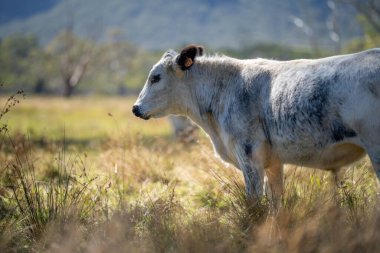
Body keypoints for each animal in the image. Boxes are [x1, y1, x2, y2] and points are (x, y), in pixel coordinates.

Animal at [133, 45, 380, 204]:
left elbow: (254, 206)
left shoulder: (250, 158)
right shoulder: (273, 163)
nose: (135, 108)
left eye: (155, 77)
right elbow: (276, 207)